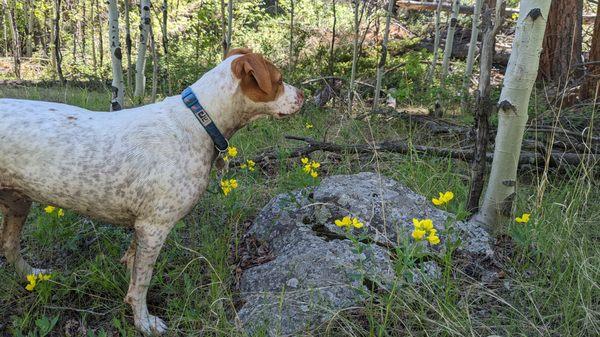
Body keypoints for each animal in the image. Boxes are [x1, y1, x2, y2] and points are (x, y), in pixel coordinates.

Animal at [0, 48, 304, 334]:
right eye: (279, 80)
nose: (303, 95)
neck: (199, 121)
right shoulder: (155, 227)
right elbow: (141, 283)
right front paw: (144, 322)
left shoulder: (142, 227)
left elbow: (133, 265)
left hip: (18, 202)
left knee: (10, 246)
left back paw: (33, 275)